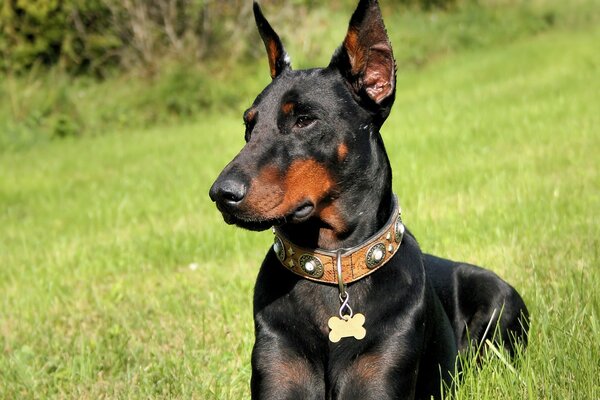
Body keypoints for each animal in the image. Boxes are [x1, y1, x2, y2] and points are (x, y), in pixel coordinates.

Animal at [209, 1, 528, 398]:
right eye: (248, 125)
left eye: (304, 119)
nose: (221, 193)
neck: (333, 265)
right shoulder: (278, 374)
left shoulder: (379, 379)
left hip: (497, 305)